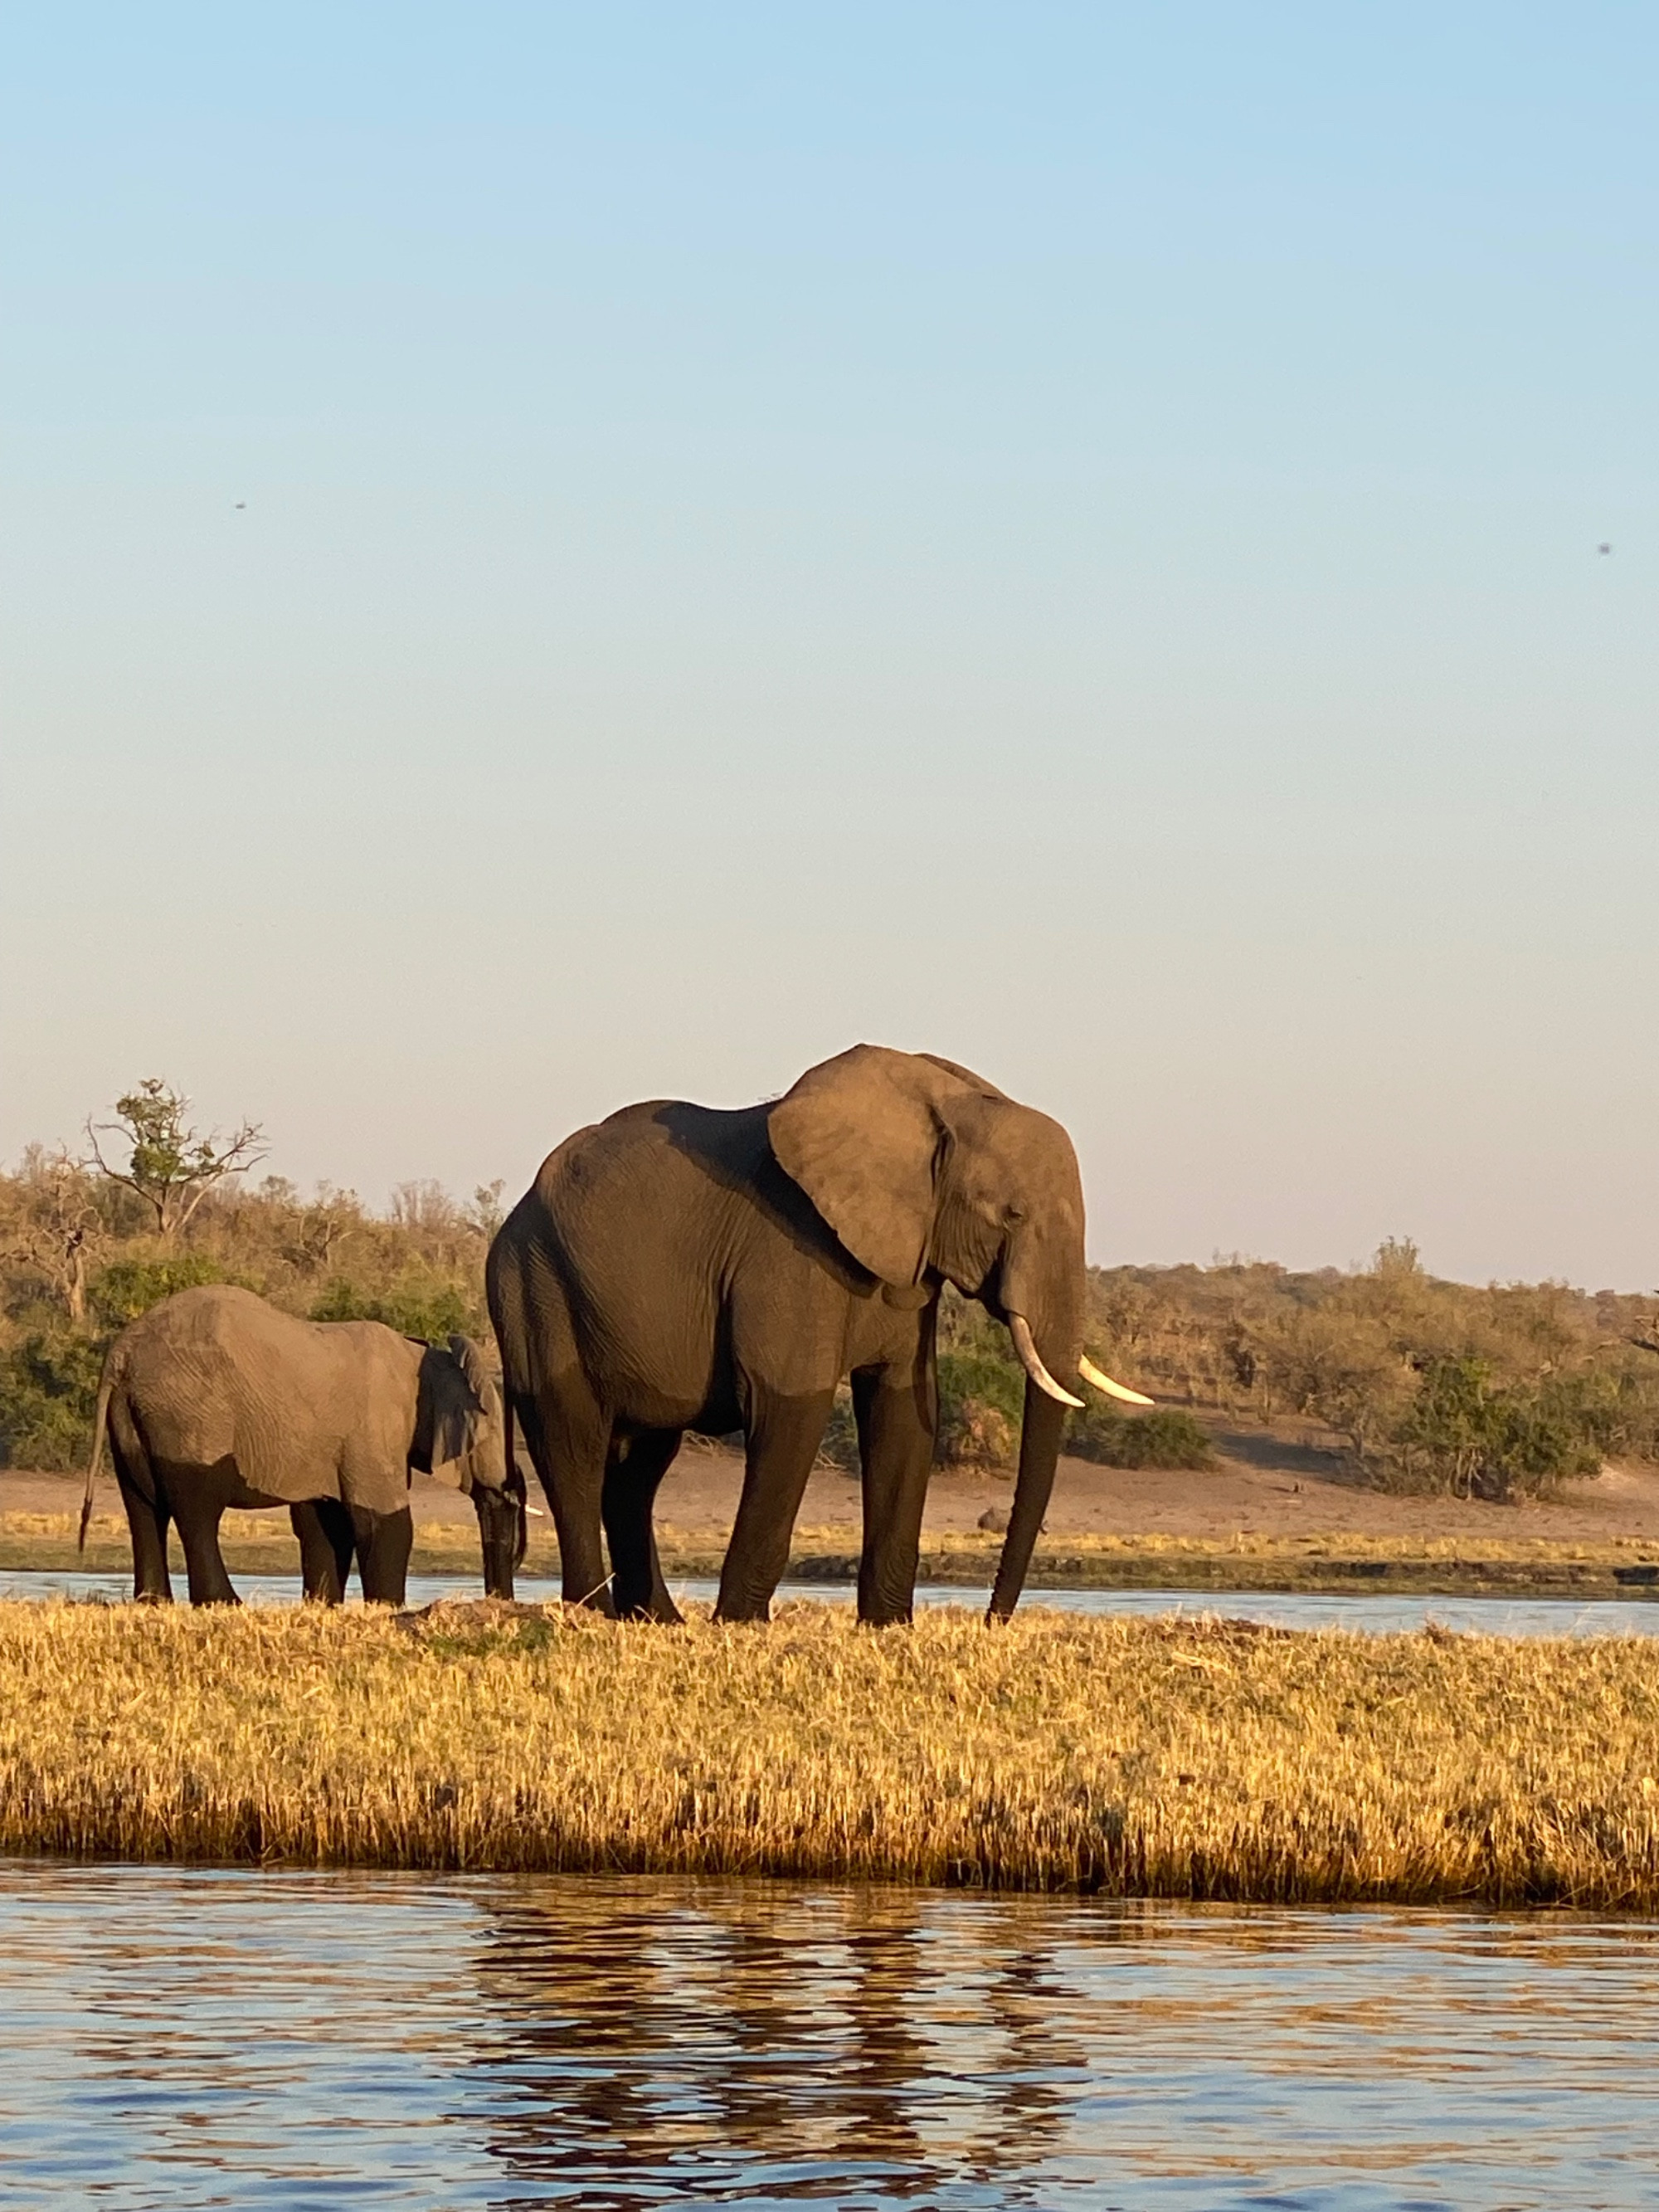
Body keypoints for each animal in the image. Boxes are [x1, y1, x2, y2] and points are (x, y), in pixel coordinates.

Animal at [75, 1283, 519, 1610]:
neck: (426, 1356)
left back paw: (154, 1602)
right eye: (496, 1435)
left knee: (142, 1505)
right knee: (197, 1508)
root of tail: (121, 1354)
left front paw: (323, 1605)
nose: (498, 1601)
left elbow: (323, 1523)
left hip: (134, 1416)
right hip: (190, 1413)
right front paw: (387, 1608)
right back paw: (225, 1604)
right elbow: (384, 1522)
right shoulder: (374, 1426)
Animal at [486, 1044, 1150, 1619]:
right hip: (534, 1289)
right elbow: (791, 1407)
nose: (994, 1620)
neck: (941, 1107)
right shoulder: (787, 1249)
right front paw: (741, 1625)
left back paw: (656, 1622)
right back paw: (592, 1614)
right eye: (1010, 1213)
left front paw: (888, 1628)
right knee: (574, 1447)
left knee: (637, 1467)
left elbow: (905, 1412)